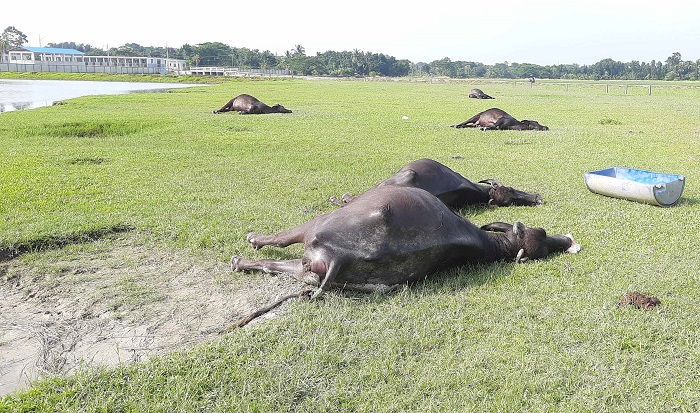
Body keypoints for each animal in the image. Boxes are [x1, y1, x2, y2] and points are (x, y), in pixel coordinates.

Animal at [231, 184, 580, 300]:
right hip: (312, 271)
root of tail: (339, 257)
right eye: (543, 234)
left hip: (315, 230)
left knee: (276, 248)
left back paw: (244, 254)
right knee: (278, 265)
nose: (568, 241)